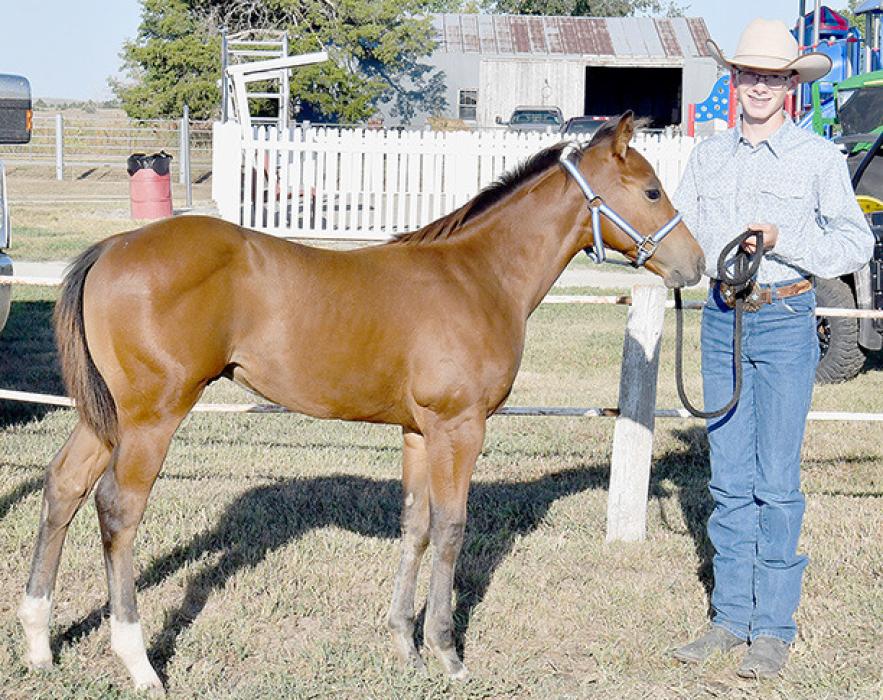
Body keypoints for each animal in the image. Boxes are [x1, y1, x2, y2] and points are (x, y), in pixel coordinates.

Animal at [18, 112, 704, 693]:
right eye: (651, 192)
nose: (694, 264)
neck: (478, 277)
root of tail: (110, 248)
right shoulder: (461, 427)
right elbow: (451, 527)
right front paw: (447, 651)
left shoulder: (420, 431)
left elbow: (416, 524)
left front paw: (404, 643)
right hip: (151, 416)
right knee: (117, 507)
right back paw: (139, 663)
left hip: (106, 417)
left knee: (63, 487)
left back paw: (38, 643)